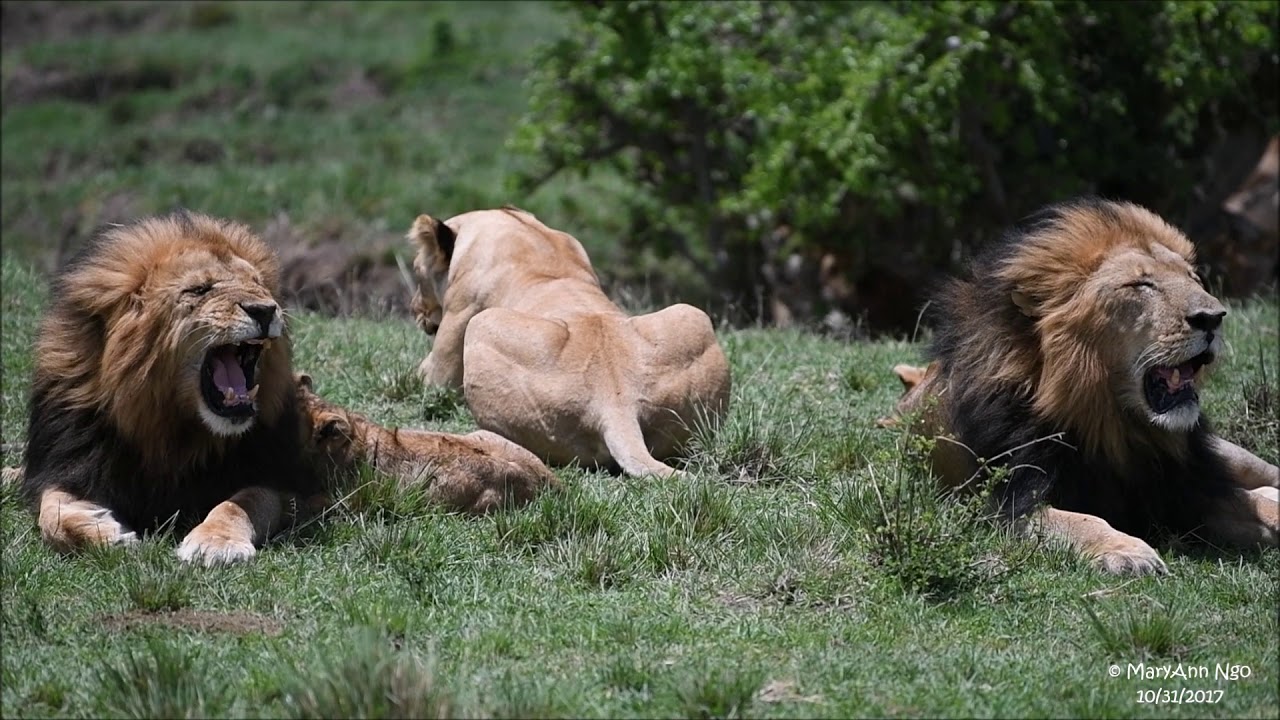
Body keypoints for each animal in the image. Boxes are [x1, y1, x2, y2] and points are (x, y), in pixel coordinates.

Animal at [20, 211, 322, 566]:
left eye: (258, 284)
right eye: (199, 289)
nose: (264, 310)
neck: (170, 425)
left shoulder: (274, 477)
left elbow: (239, 504)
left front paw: (215, 543)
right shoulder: (70, 464)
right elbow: (51, 513)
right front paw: (105, 534)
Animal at [407, 206, 731, 478]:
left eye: (416, 271)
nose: (413, 309)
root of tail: (617, 403)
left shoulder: (459, 316)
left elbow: (426, 378)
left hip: (482, 326)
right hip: (693, 316)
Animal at [881, 198, 1278, 575]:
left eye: (1194, 279)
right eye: (1141, 285)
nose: (1213, 318)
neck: (1112, 422)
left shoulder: (1186, 487)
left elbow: (1257, 505)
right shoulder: (1007, 506)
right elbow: (1084, 521)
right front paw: (1127, 551)